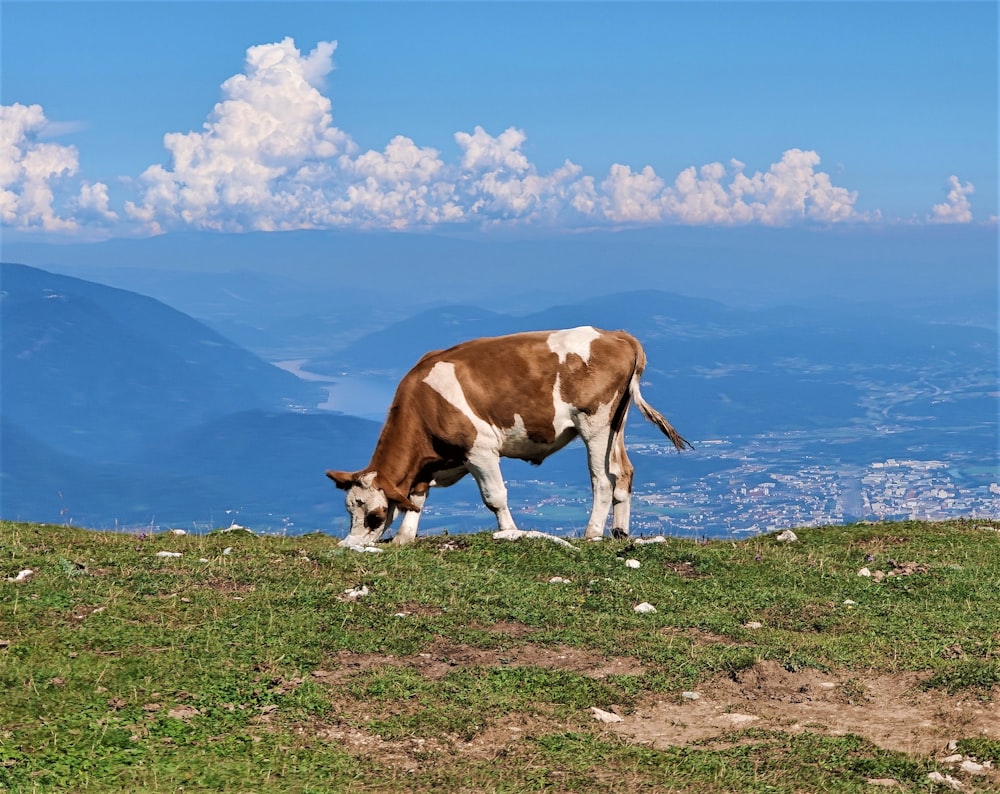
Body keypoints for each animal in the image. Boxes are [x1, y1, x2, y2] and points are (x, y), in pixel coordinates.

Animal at [324, 326, 692, 544]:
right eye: (349, 510)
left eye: (375, 515)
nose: (350, 546)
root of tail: (615, 334)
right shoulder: (431, 463)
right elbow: (416, 498)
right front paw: (404, 538)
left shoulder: (480, 450)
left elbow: (494, 497)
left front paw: (510, 532)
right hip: (618, 423)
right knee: (624, 471)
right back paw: (619, 532)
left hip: (595, 423)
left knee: (602, 478)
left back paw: (591, 534)